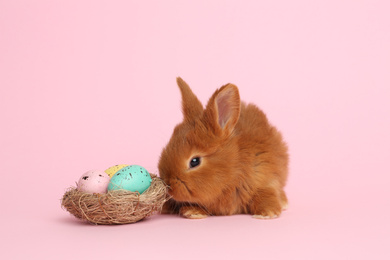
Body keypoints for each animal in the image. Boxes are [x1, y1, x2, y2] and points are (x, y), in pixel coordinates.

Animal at [157, 77, 288, 219]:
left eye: (194, 161)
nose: (168, 185)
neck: (232, 170)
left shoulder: (265, 176)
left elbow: (266, 193)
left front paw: (266, 213)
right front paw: (192, 211)